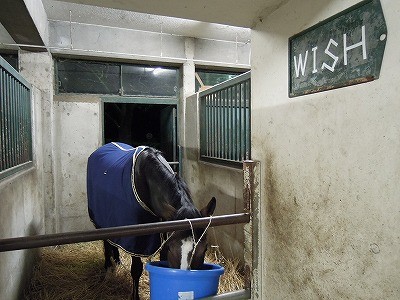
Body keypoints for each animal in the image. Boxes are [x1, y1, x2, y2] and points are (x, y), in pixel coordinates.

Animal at [86, 143, 216, 300]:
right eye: (171, 247)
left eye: (205, 248)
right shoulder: (137, 240)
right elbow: (136, 270)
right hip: (100, 222)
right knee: (106, 242)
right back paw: (108, 268)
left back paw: (117, 261)